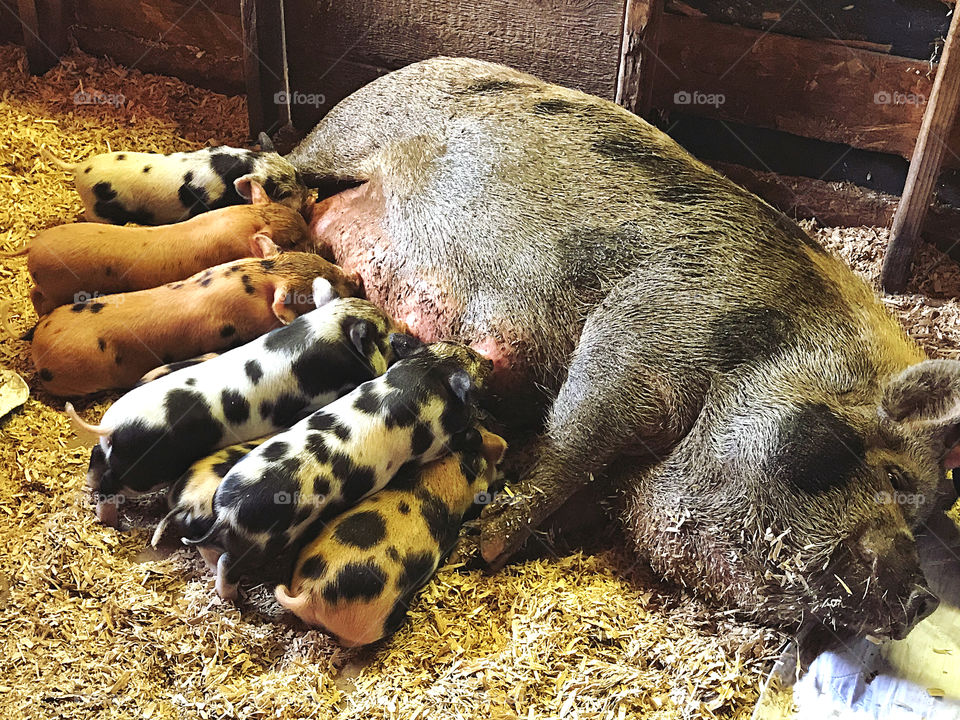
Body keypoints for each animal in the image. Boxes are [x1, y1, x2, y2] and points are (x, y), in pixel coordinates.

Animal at [15, 180, 315, 316]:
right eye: (292, 241)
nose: (315, 246)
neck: (240, 221)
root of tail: (33, 245)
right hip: (56, 287)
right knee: (35, 295)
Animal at [69, 282, 401, 526]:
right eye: (382, 333)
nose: (400, 334)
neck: (326, 330)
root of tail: (110, 426)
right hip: (146, 471)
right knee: (111, 483)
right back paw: (109, 520)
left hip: (117, 455)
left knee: (97, 458)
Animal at [187, 336, 493, 600]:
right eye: (472, 359)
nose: (490, 361)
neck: (428, 372)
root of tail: (227, 513)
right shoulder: (431, 444)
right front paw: (475, 434)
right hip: (265, 542)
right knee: (229, 563)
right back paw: (233, 595)